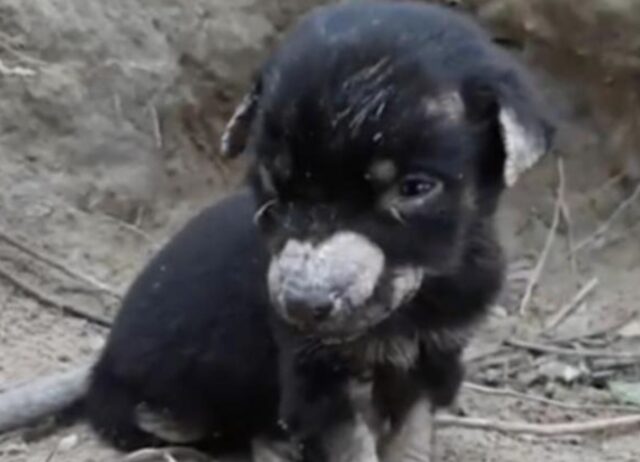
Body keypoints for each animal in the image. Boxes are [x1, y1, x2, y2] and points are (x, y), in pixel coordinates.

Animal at [86, 1, 556, 460]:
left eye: (414, 188)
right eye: (272, 184)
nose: (300, 304)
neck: (412, 310)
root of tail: (100, 373)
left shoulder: (432, 359)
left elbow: (412, 438)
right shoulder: (318, 375)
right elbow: (349, 447)